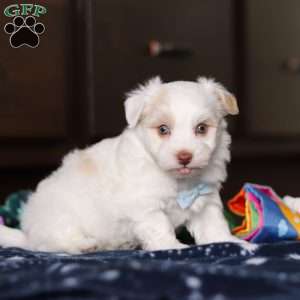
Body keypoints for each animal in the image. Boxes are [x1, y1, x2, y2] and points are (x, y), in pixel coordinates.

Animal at [0, 76, 243, 252]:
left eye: (202, 128)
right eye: (163, 129)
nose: (184, 156)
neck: (180, 182)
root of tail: (29, 232)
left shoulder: (206, 200)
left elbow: (213, 225)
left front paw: (231, 242)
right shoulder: (145, 206)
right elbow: (160, 227)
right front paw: (173, 247)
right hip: (58, 216)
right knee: (54, 242)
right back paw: (85, 245)